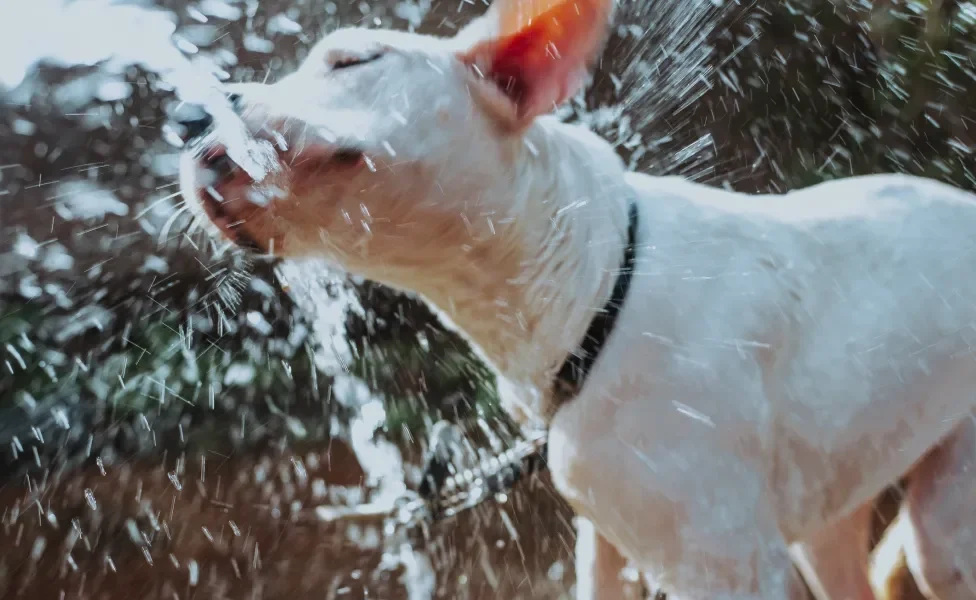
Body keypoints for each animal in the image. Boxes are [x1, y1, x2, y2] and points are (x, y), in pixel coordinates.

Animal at [179, 1, 976, 596]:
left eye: (353, 61)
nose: (188, 118)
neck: (592, 286)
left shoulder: (731, 566)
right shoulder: (606, 544)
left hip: (943, 529)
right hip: (835, 505)